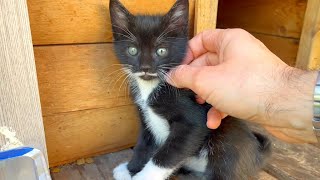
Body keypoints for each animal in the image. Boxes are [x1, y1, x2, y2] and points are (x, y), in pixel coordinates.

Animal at [108, 0, 270, 179]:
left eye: (161, 51)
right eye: (132, 50)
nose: (145, 68)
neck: (150, 87)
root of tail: (258, 156)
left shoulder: (193, 121)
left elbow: (167, 155)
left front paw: (143, 176)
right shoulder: (145, 118)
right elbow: (143, 145)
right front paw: (130, 169)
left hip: (228, 140)